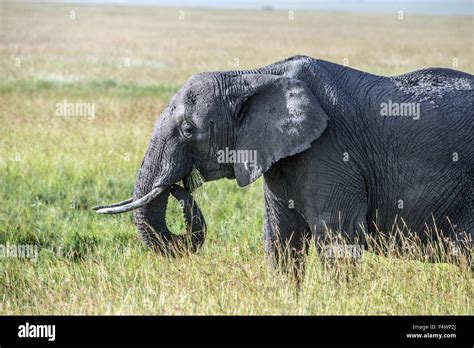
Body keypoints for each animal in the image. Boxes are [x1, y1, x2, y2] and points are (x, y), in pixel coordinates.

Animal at [93, 55, 474, 274]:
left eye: (188, 130)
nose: (180, 188)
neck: (254, 75)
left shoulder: (332, 151)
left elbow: (337, 240)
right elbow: (281, 240)